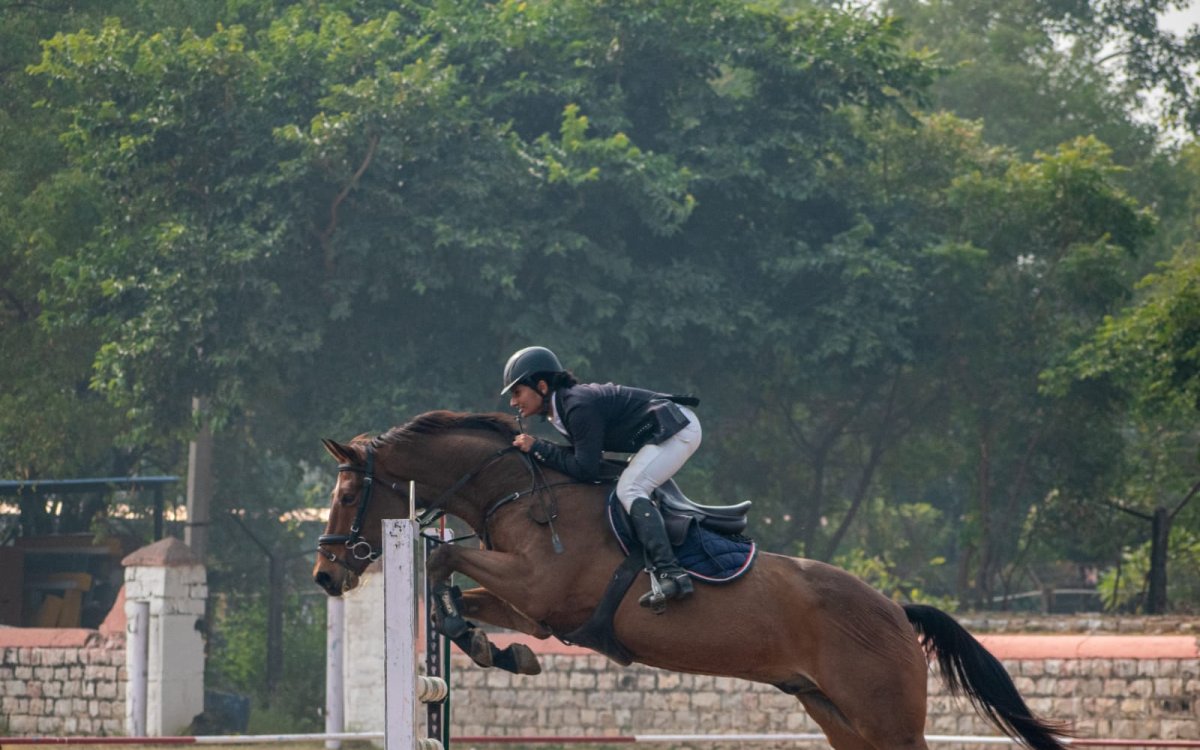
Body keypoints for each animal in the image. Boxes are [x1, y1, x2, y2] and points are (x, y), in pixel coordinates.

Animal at [312, 410, 1070, 748]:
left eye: (348, 493)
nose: (325, 575)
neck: (519, 492)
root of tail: (893, 610)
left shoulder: (541, 588)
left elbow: (444, 562)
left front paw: (481, 641)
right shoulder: (536, 607)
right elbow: (465, 596)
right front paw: (497, 649)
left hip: (884, 717)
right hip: (836, 715)